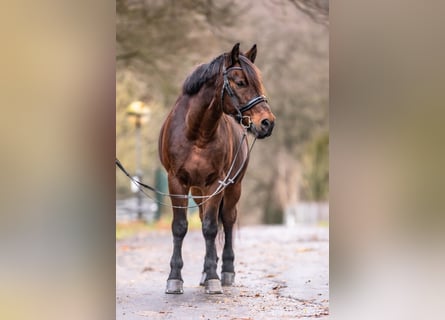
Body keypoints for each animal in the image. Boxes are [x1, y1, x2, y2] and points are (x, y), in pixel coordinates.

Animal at [156, 43, 274, 294]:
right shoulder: (176, 181)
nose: (267, 123)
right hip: (198, 190)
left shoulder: (217, 183)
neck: (197, 132)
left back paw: (226, 271)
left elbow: (211, 228)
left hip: (233, 187)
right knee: (203, 217)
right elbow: (180, 226)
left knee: (227, 220)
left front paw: (213, 277)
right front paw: (174, 278)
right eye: (240, 82)